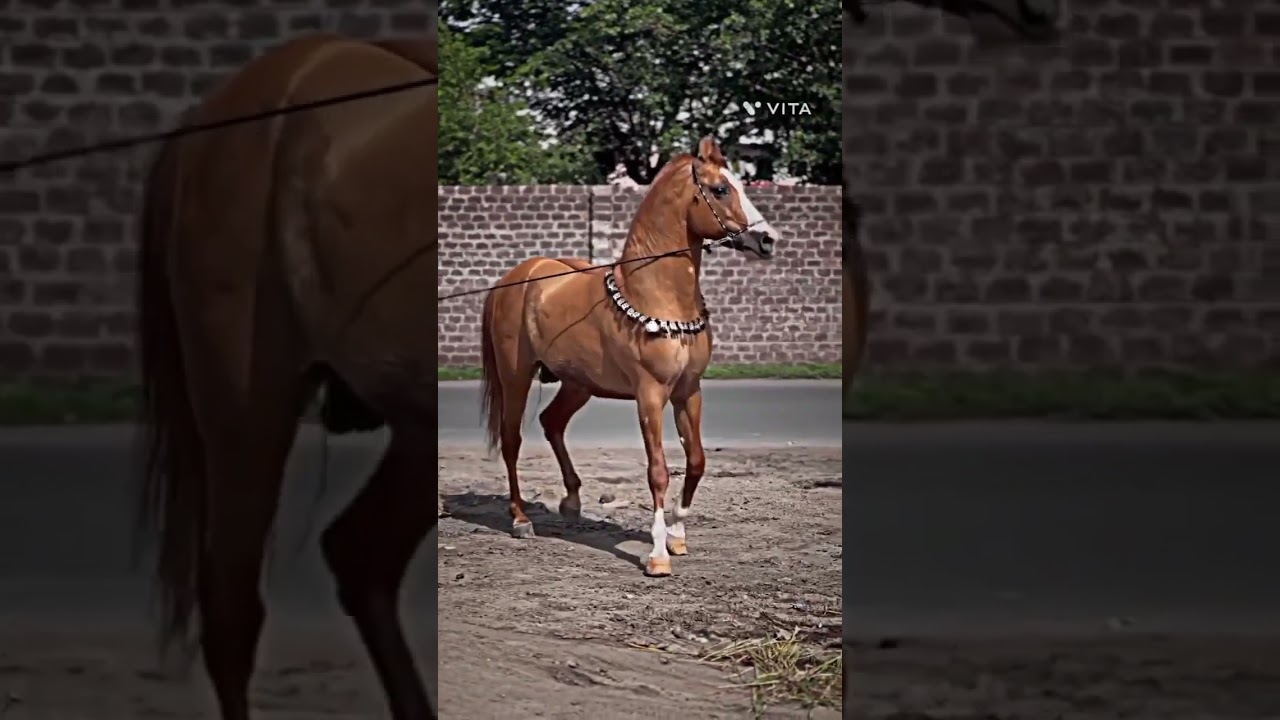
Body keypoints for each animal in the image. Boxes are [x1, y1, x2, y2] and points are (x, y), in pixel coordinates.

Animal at [477, 135, 780, 578]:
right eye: (721, 189)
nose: (768, 240)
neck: (655, 295)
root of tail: (515, 278)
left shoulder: (688, 392)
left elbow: (696, 461)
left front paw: (677, 536)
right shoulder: (650, 395)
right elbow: (657, 471)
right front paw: (657, 555)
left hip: (578, 384)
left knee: (552, 423)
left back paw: (571, 502)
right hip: (516, 376)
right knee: (512, 439)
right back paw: (520, 520)